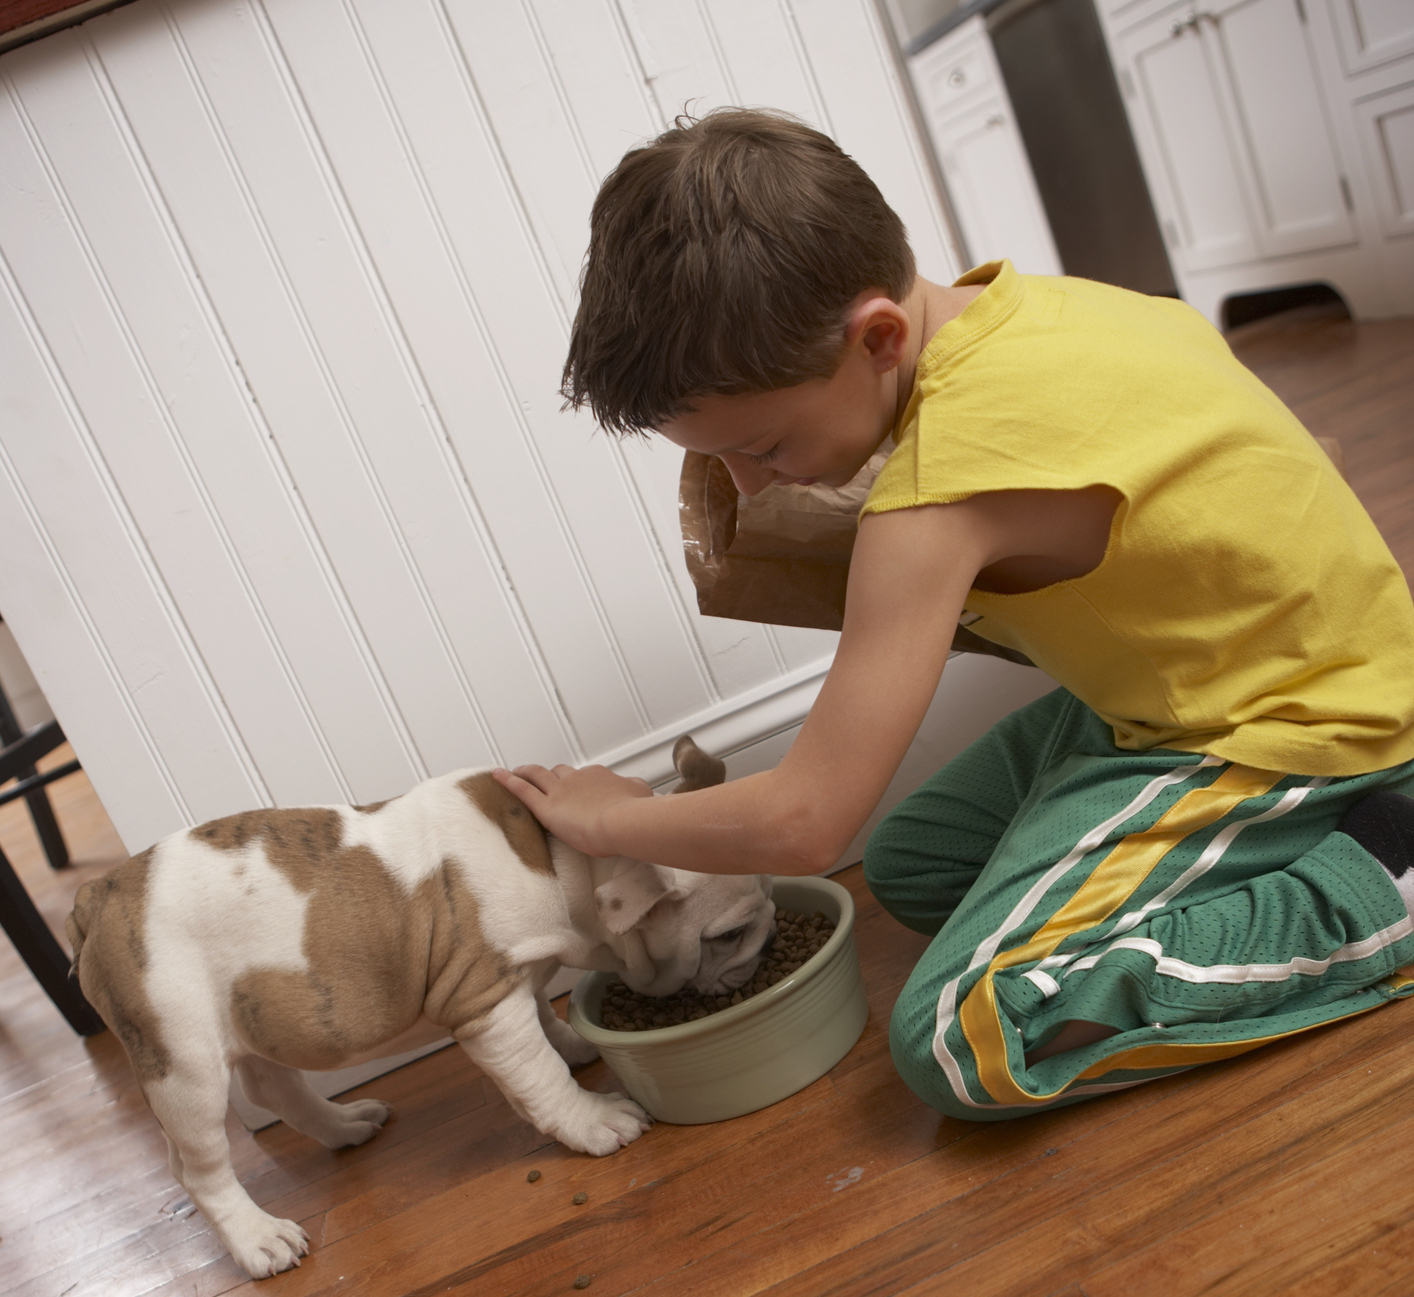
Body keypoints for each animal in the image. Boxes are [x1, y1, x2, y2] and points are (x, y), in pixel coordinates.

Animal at [66, 735, 774, 1278]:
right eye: (728, 935)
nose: (766, 943)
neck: (558, 862)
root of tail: (98, 896)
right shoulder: (484, 1000)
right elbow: (538, 1074)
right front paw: (593, 1119)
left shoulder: (516, 979)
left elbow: (546, 1016)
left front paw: (574, 1045)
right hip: (183, 1060)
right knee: (198, 1167)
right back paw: (258, 1238)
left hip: (262, 1010)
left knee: (273, 1086)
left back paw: (343, 1125)